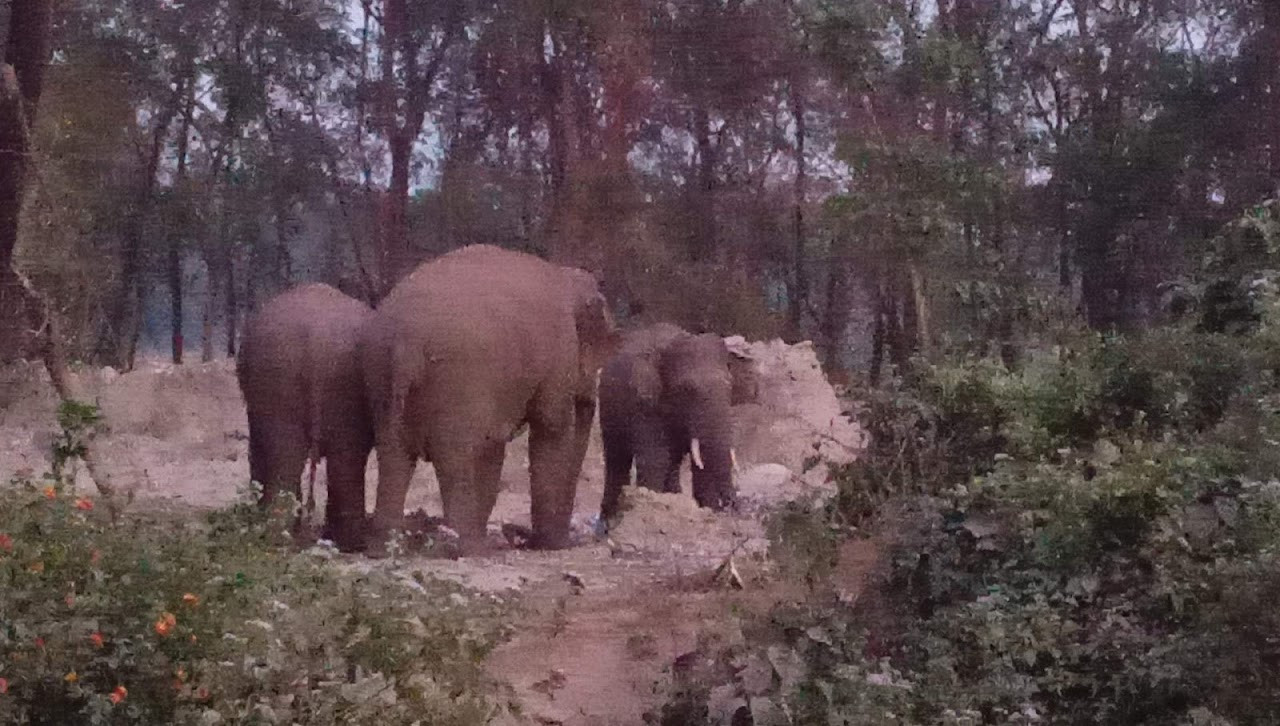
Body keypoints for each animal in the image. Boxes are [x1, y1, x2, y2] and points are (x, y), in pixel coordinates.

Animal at [358, 245, 622, 555]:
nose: (522, 536)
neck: (567, 277)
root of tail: (405, 344)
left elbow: (493, 447)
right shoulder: (559, 353)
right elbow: (551, 429)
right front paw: (553, 546)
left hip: (380, 375)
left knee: (394, 457)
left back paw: (383, 548)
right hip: (454, 383)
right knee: (454, 460)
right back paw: (470, 548)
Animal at [593, 323, 752, 527]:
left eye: (729, 386)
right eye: (687, 389)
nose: (731, 506)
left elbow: (699, 462)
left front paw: (709, 510)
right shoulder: (643, 404)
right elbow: (655, 459)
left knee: (673, 461)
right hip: (608, 409)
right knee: (617, 459)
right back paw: (608, 523)